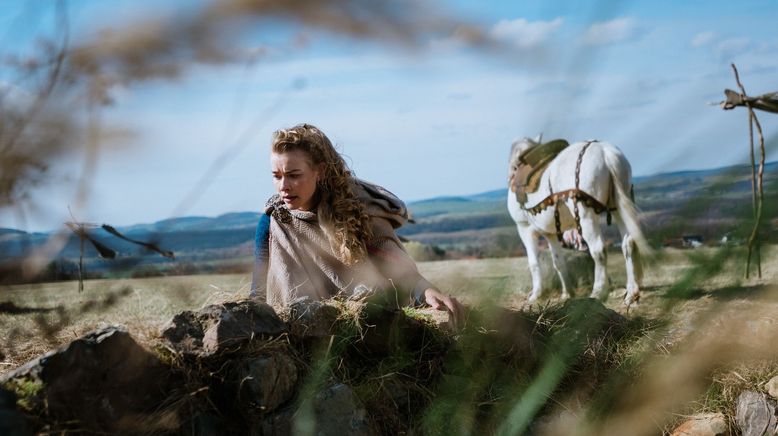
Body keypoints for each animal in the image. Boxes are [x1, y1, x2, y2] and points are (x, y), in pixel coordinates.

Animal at [504, 138, 648, 304]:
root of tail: (605, 152)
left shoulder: (524, 229)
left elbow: (533, 263)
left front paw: (536, 295)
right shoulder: (550, 234)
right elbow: (558, 262)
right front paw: (567, 293)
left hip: (586, 216)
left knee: (598, 250)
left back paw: (598, 291)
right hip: (619, 207)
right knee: (628, 244)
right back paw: (631, 292)